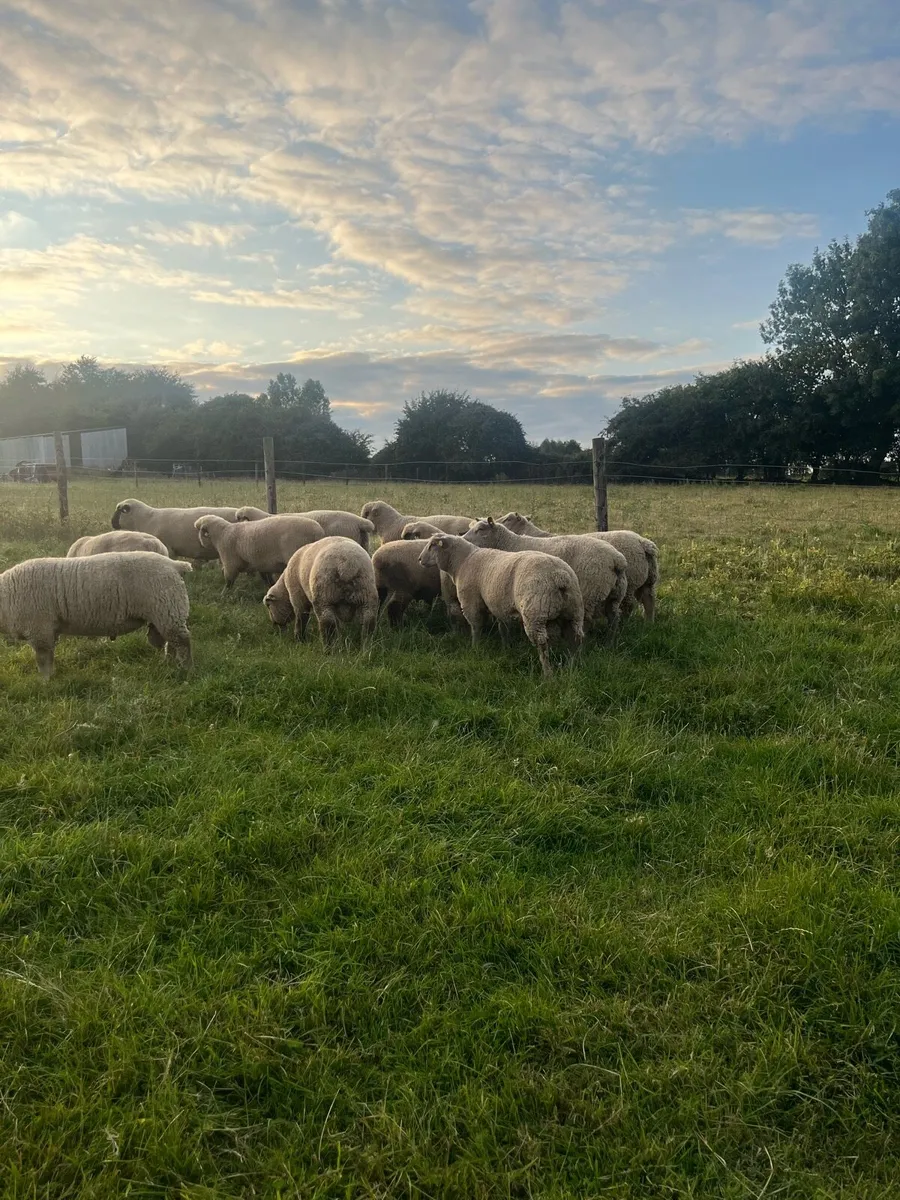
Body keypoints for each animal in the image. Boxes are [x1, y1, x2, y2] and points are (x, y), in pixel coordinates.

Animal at [0, 551, 192, 679]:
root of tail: (174, 564)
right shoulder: (46, 630)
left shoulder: (40, 629)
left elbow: (43, 659)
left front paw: (45, 681)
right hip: (164, 613)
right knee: (171, 641)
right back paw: (169, 664)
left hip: (169, 608)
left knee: (182, 641)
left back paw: (185, 669)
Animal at [195, 514, 325, 592]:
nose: (200, 543)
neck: (222, 534)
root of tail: (317, 531)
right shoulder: (260, 563)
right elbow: (266, 578)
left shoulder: (230, 563)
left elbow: (229, 581)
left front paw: (225, 594)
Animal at [417, 534, 584, 677]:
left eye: (432, 545)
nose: (419, 559)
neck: (461, 562)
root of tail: (560, 576)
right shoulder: (497, 605)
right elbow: (502, 628)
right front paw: (505, 647)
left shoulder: (471, 602)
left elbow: (476, 627)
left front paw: (475, 647)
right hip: (573, 612)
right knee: (575, 638)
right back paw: (572, 666)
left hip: (536, 613)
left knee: (542, 644)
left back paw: (547, 674)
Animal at [464, 517, 627, 637]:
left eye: (480, 529)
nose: (462, 537)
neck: (509, 543)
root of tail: (617, 559)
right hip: (614, 595)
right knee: (614, 618)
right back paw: (611, 641)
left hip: (590, 593)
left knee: (584, 623)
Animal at [498, 512, 659, 621]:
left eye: (508, 519)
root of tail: (644, 543)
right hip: (647, 580)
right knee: (649, 600)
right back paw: (649, 622)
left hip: (630, 582)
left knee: (628, 605)